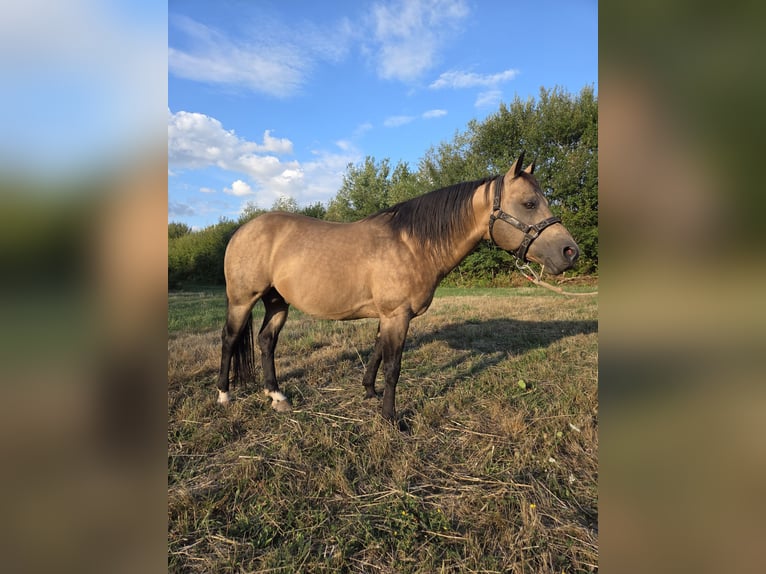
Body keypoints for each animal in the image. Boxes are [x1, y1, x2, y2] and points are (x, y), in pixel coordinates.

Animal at [216, 152, 579, 421]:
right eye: (529, 203)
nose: (570, 252)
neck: (412, 244)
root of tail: (242, 229)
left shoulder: (389, 315)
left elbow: (377, 353)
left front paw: (369, 392)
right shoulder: (397, 315)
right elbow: (393, 366)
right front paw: (391, 417)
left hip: (277, 301)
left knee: (266, 341)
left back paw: (276, 395)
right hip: (242, 300)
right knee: (230, 340)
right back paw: (224, 394)